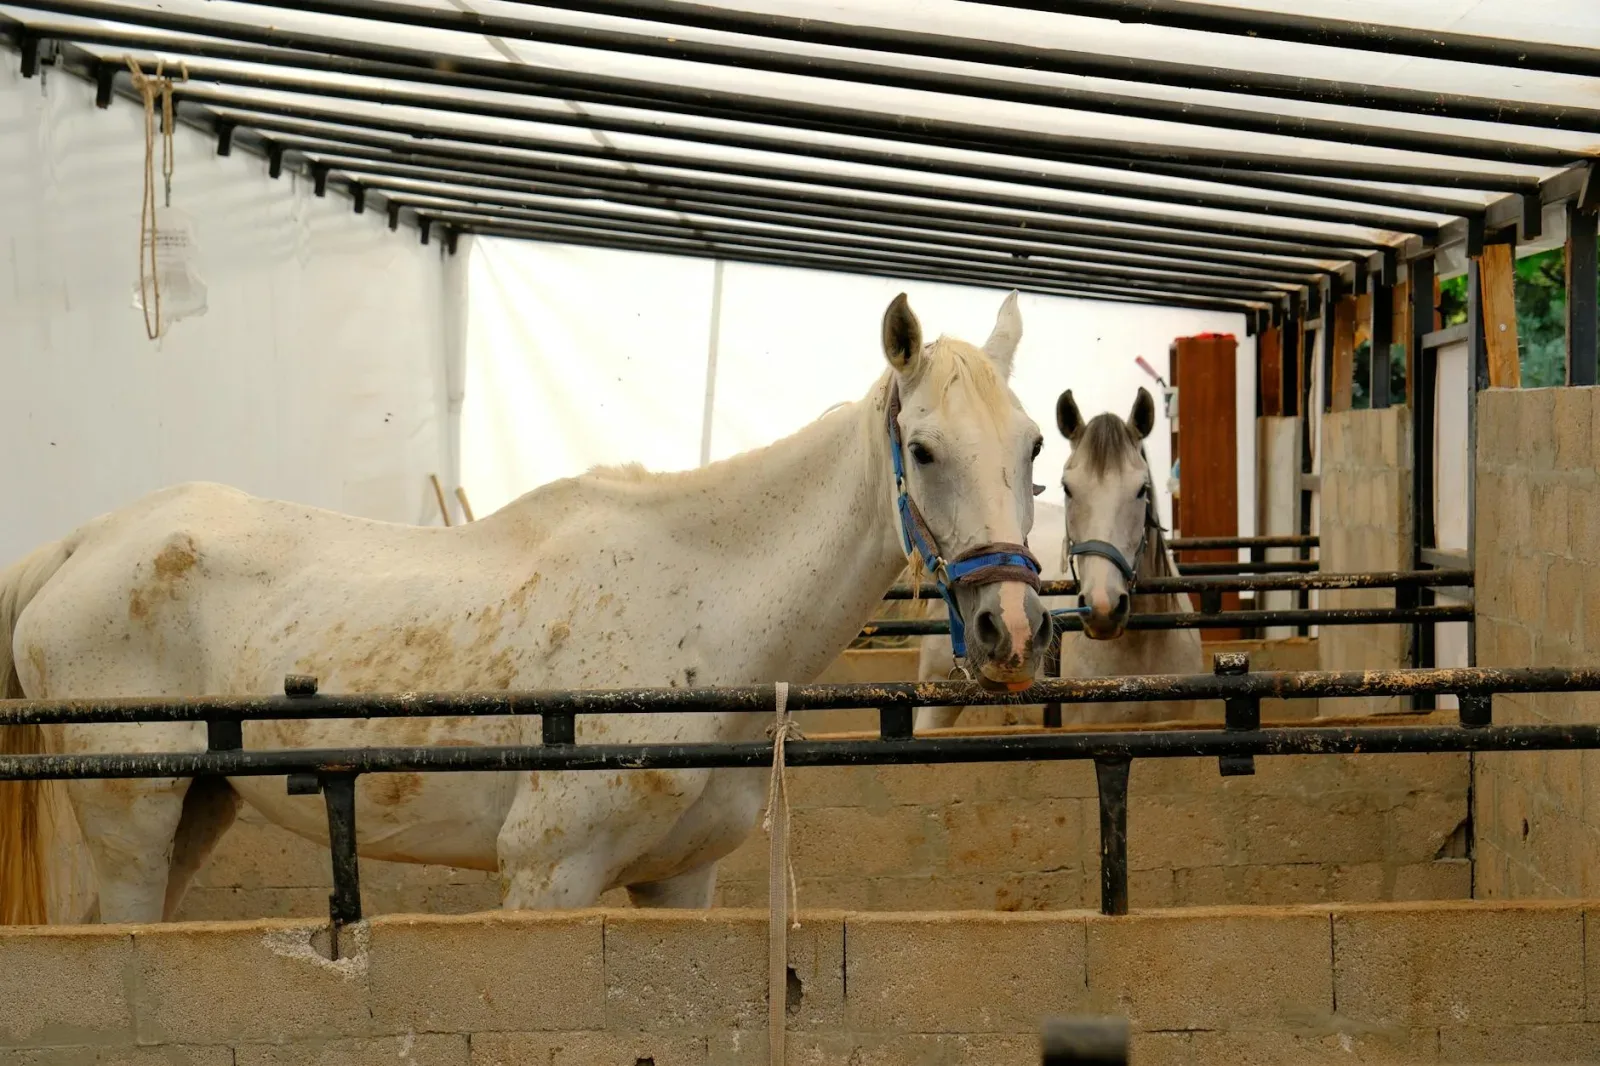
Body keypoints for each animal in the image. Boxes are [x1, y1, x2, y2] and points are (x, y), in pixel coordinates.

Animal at [0, 291, 1051, 925]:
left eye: (1035, 446)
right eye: (923, 450)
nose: (1009, 630)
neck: (700, 613)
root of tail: (81, 543)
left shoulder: (682, 884)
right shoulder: (549, 880)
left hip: (196, 810)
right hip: (132, 827)